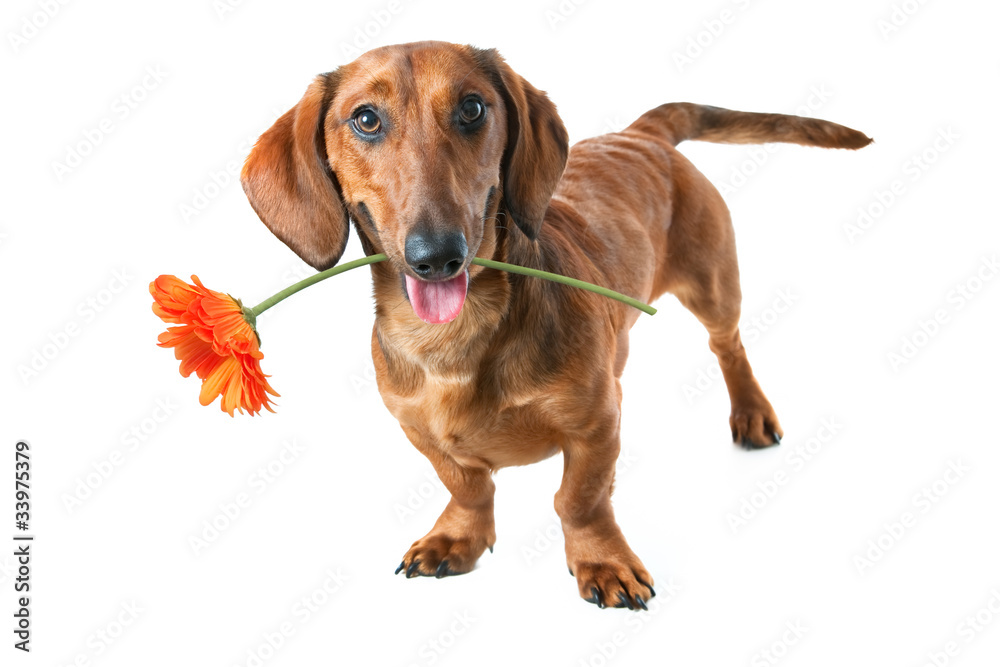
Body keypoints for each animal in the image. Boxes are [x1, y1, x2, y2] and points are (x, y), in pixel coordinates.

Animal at [238, 37, 872, 612]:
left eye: (472, 108)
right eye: (366, 119)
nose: (437, 255)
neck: (456, 341)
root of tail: (641, 134)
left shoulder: (597, 425)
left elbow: (579, 500)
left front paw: (603, 561)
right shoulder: (420, 433)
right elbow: (468, 486)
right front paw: (458, 537)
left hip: (714, 286)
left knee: (729, 346)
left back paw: (751, 411)